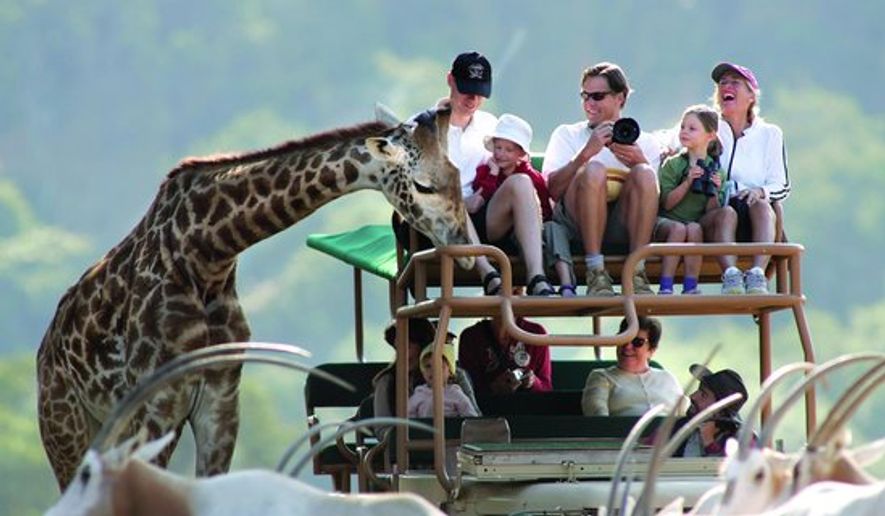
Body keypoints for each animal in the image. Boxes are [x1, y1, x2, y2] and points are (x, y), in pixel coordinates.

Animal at [38, 108, 474, 488]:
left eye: (457, 173)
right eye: (423, 185)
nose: (466, 245)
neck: (206, 255)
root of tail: (45, 353)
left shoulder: (221, 398)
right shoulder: (157, 402)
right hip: (66, 428)